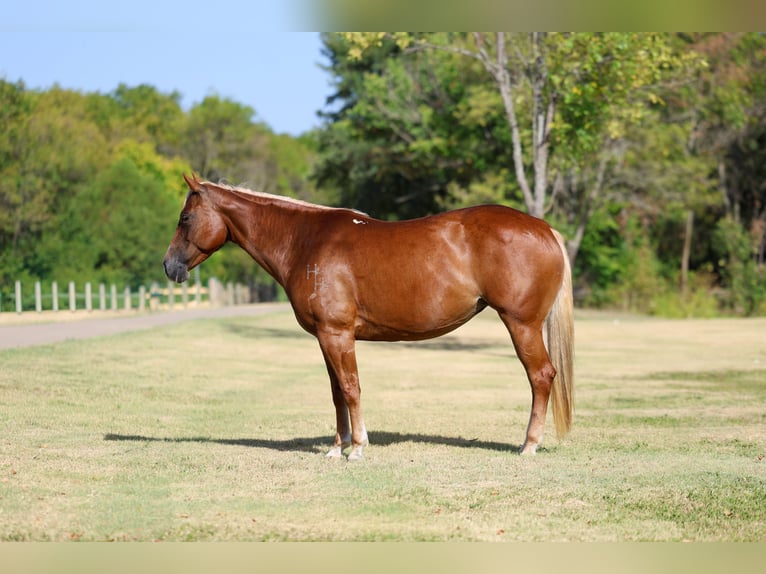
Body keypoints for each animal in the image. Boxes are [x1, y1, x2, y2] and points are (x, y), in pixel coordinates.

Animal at [163, 174, 574, 460]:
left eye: (185, 217)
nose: (169, 266)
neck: (305, 242)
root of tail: (543, 228)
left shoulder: (337, 334)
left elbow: (351, 388)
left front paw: (358, 447)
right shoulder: (325, 337)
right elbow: (336, 393)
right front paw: (336, 447)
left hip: (521, 325)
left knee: (541, 376)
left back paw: (529, 445)